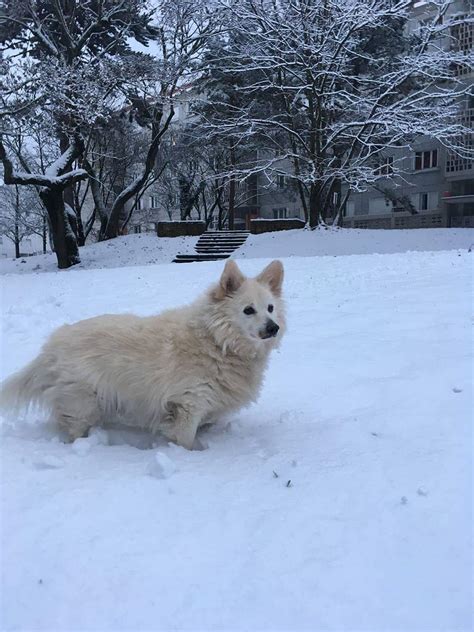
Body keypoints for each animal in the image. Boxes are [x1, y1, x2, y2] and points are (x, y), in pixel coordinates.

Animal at [0, 260, 286, 446]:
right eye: (248, 310)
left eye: (270, 308)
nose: (274, 328)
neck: (217, 341)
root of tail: (51, 347)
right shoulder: (188, 404)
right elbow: (186, 440)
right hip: (83, 404)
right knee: (73, 428)